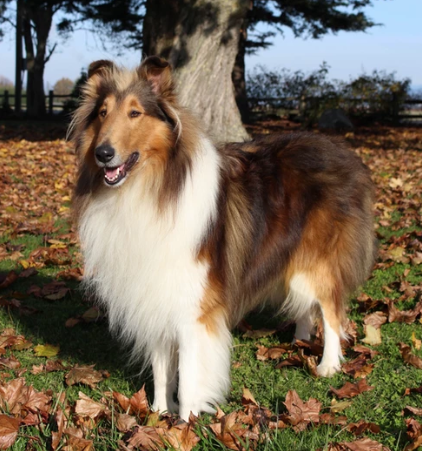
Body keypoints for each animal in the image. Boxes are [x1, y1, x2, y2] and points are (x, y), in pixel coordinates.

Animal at [70, 55, 376, 420]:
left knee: (331, 309)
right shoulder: (155, 291)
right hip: (292, 259)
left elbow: (190, 374)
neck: (153, 187)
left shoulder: (195, 305)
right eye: (102, 113)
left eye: (135, 113)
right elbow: (161, 367)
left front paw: (184, 421)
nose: (103, 153)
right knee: (307, 304)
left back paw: (328, 364)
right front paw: (158, 412)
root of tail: (344, 151)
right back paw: (300, 340)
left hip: (319, 260)